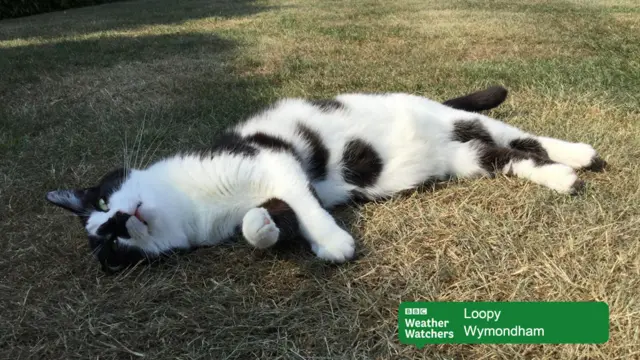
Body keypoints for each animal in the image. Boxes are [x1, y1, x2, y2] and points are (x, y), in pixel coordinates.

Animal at [45, 86, 604, 272]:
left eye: (103, 203)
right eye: (111, 246)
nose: (119, 219)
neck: (190, 202)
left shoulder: (275, 161)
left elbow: (307, 204)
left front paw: (335, 243)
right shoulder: (266, 193)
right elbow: (268, 218)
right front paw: (264, 230)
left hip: (464, 121)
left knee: (524, 136)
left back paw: (580, 154)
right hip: (469, 157)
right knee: (513, 157)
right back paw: (563, 177)